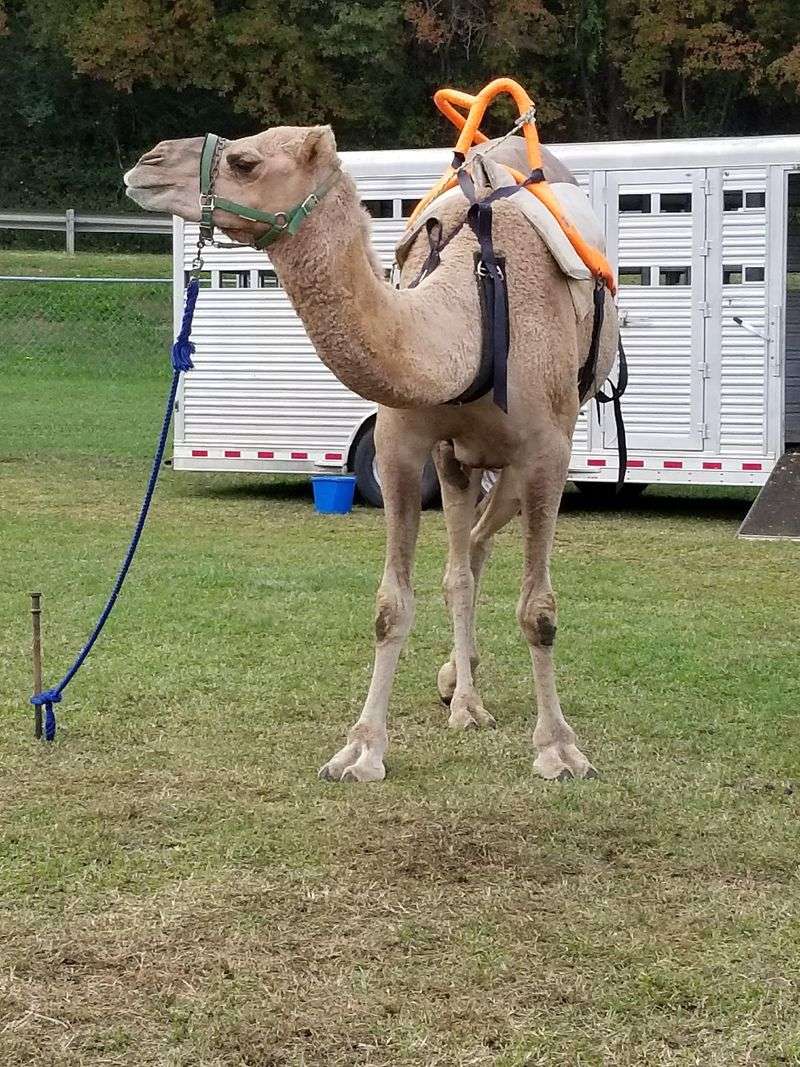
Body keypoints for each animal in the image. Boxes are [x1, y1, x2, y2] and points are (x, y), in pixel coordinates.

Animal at [124, 120, 618, 783]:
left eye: (245, 162)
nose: (147, 162)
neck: (470, 318)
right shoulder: (401, 448)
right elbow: (391, 605)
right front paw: (361, 750)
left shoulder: (547, 454)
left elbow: (539, 612)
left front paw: (559, 750)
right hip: (458, 460)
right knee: (464, 561)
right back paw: (463, 695)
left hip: (533, 451)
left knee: (481, 544)